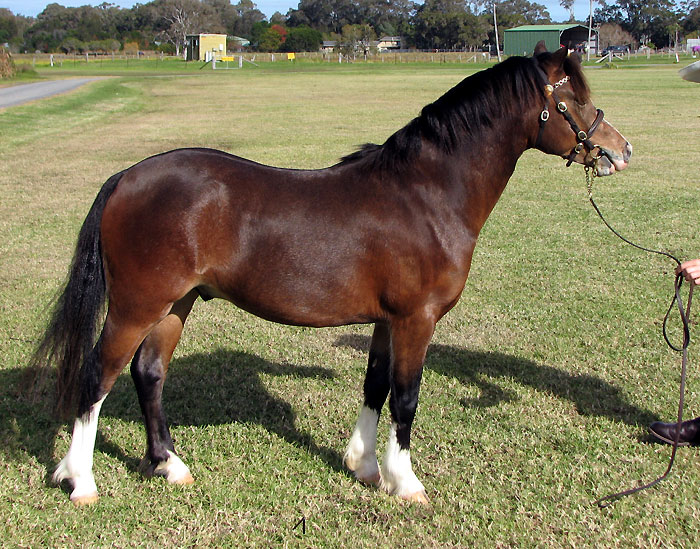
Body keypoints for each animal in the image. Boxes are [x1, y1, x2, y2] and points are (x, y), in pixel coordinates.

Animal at [32, 44, 631, 506]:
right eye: (576, 99)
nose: (621, 150)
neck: (427, 193)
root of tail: (128, 177)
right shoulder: (418, 319)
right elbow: (406, 397)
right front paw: (406, 482)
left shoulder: (388, 321)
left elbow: (375, 387)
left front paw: (365, 467)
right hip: (137, 305)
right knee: (97, 377)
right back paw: (80, 481)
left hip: (175, 305)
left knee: (148, 373)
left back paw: (168, 465)